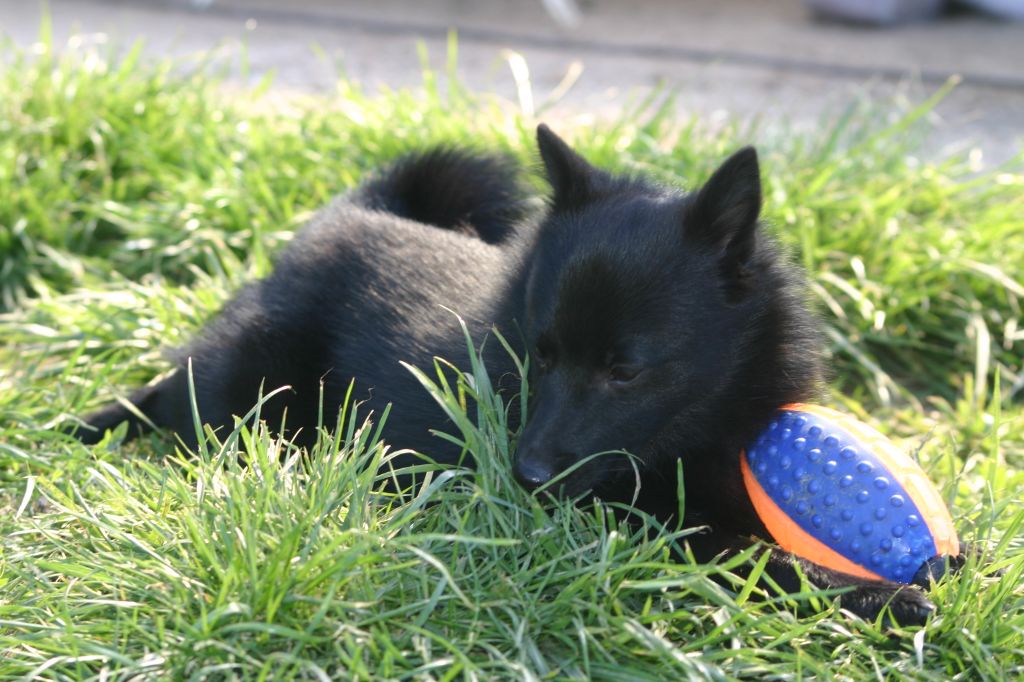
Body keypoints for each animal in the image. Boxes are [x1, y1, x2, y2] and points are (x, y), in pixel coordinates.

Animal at [79, 124, 942, 622]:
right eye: (543, 353)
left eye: (625, 370)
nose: (522, 476)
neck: (697, 425)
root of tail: (346, 214)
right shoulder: (630, 522)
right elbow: (746, 553)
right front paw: (882, 595)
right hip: (250, 386)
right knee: (169, 399)